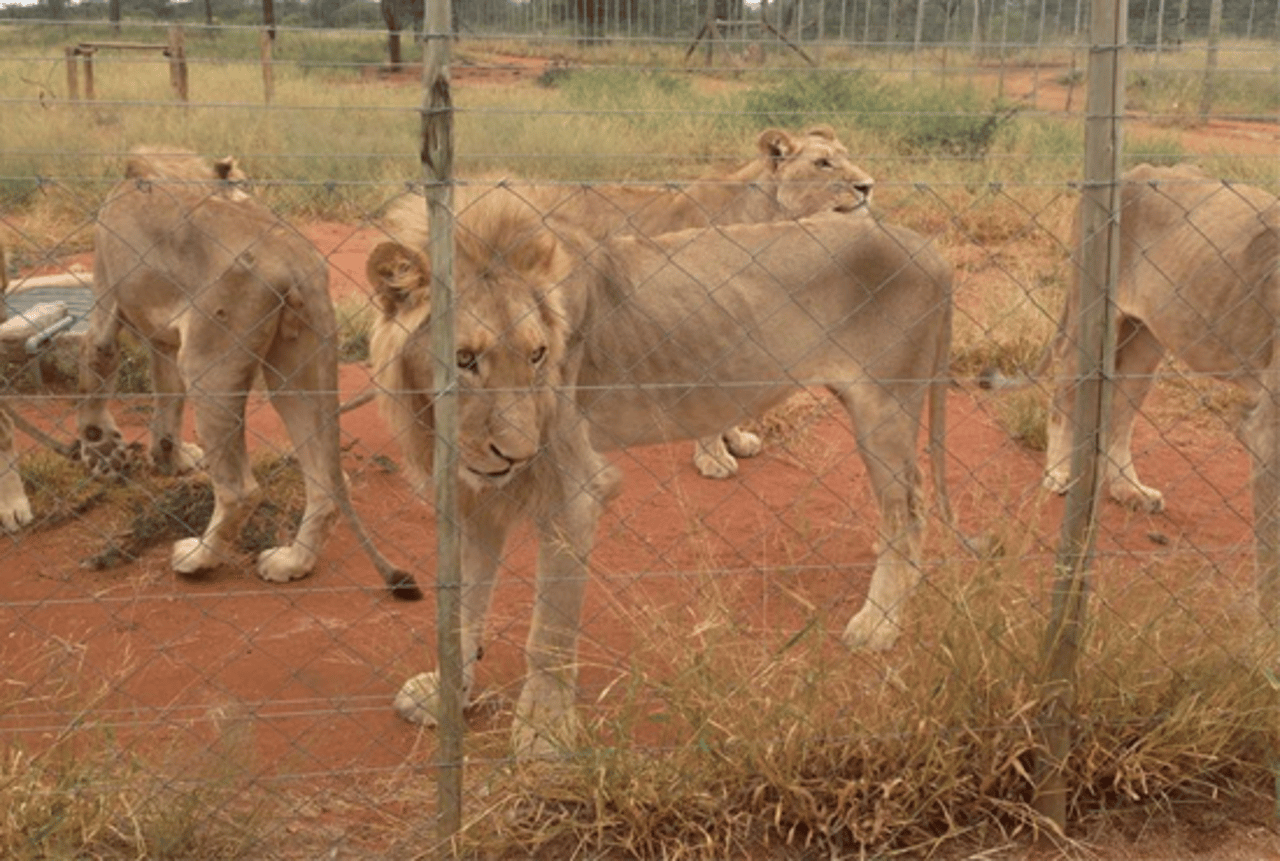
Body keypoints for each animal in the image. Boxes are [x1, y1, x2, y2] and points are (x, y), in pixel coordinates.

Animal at [78, 144, 419, 593]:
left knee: (239, 490)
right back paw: (292, 563)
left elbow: (97, 364)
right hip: (297, 370)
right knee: (328, 483)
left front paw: (99, 448)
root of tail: (293, 258)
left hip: (210, 364)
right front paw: (170, 458)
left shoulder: (105, 293)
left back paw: (198, 559)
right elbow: (167, 398)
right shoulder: (165, 339)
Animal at [366, 186, 957, 752]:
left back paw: (880, 621)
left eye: (537, 355)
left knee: (909, 508)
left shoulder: (575, 491)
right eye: (464, 360)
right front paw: (445, 698)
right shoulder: (475, 501)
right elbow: (460, 612)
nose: (519, 454)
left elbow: (548, 635)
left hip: (885, 411)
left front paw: (543, 733)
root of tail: (928, 246)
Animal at [1044, 161, 1280, 601]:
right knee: (1063, 393)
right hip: (1090, 320)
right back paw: (1059, 472)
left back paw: (1128, 491)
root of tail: (1133, 170)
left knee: (1120, 412)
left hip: (1145, 340)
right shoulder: (1267, 433)